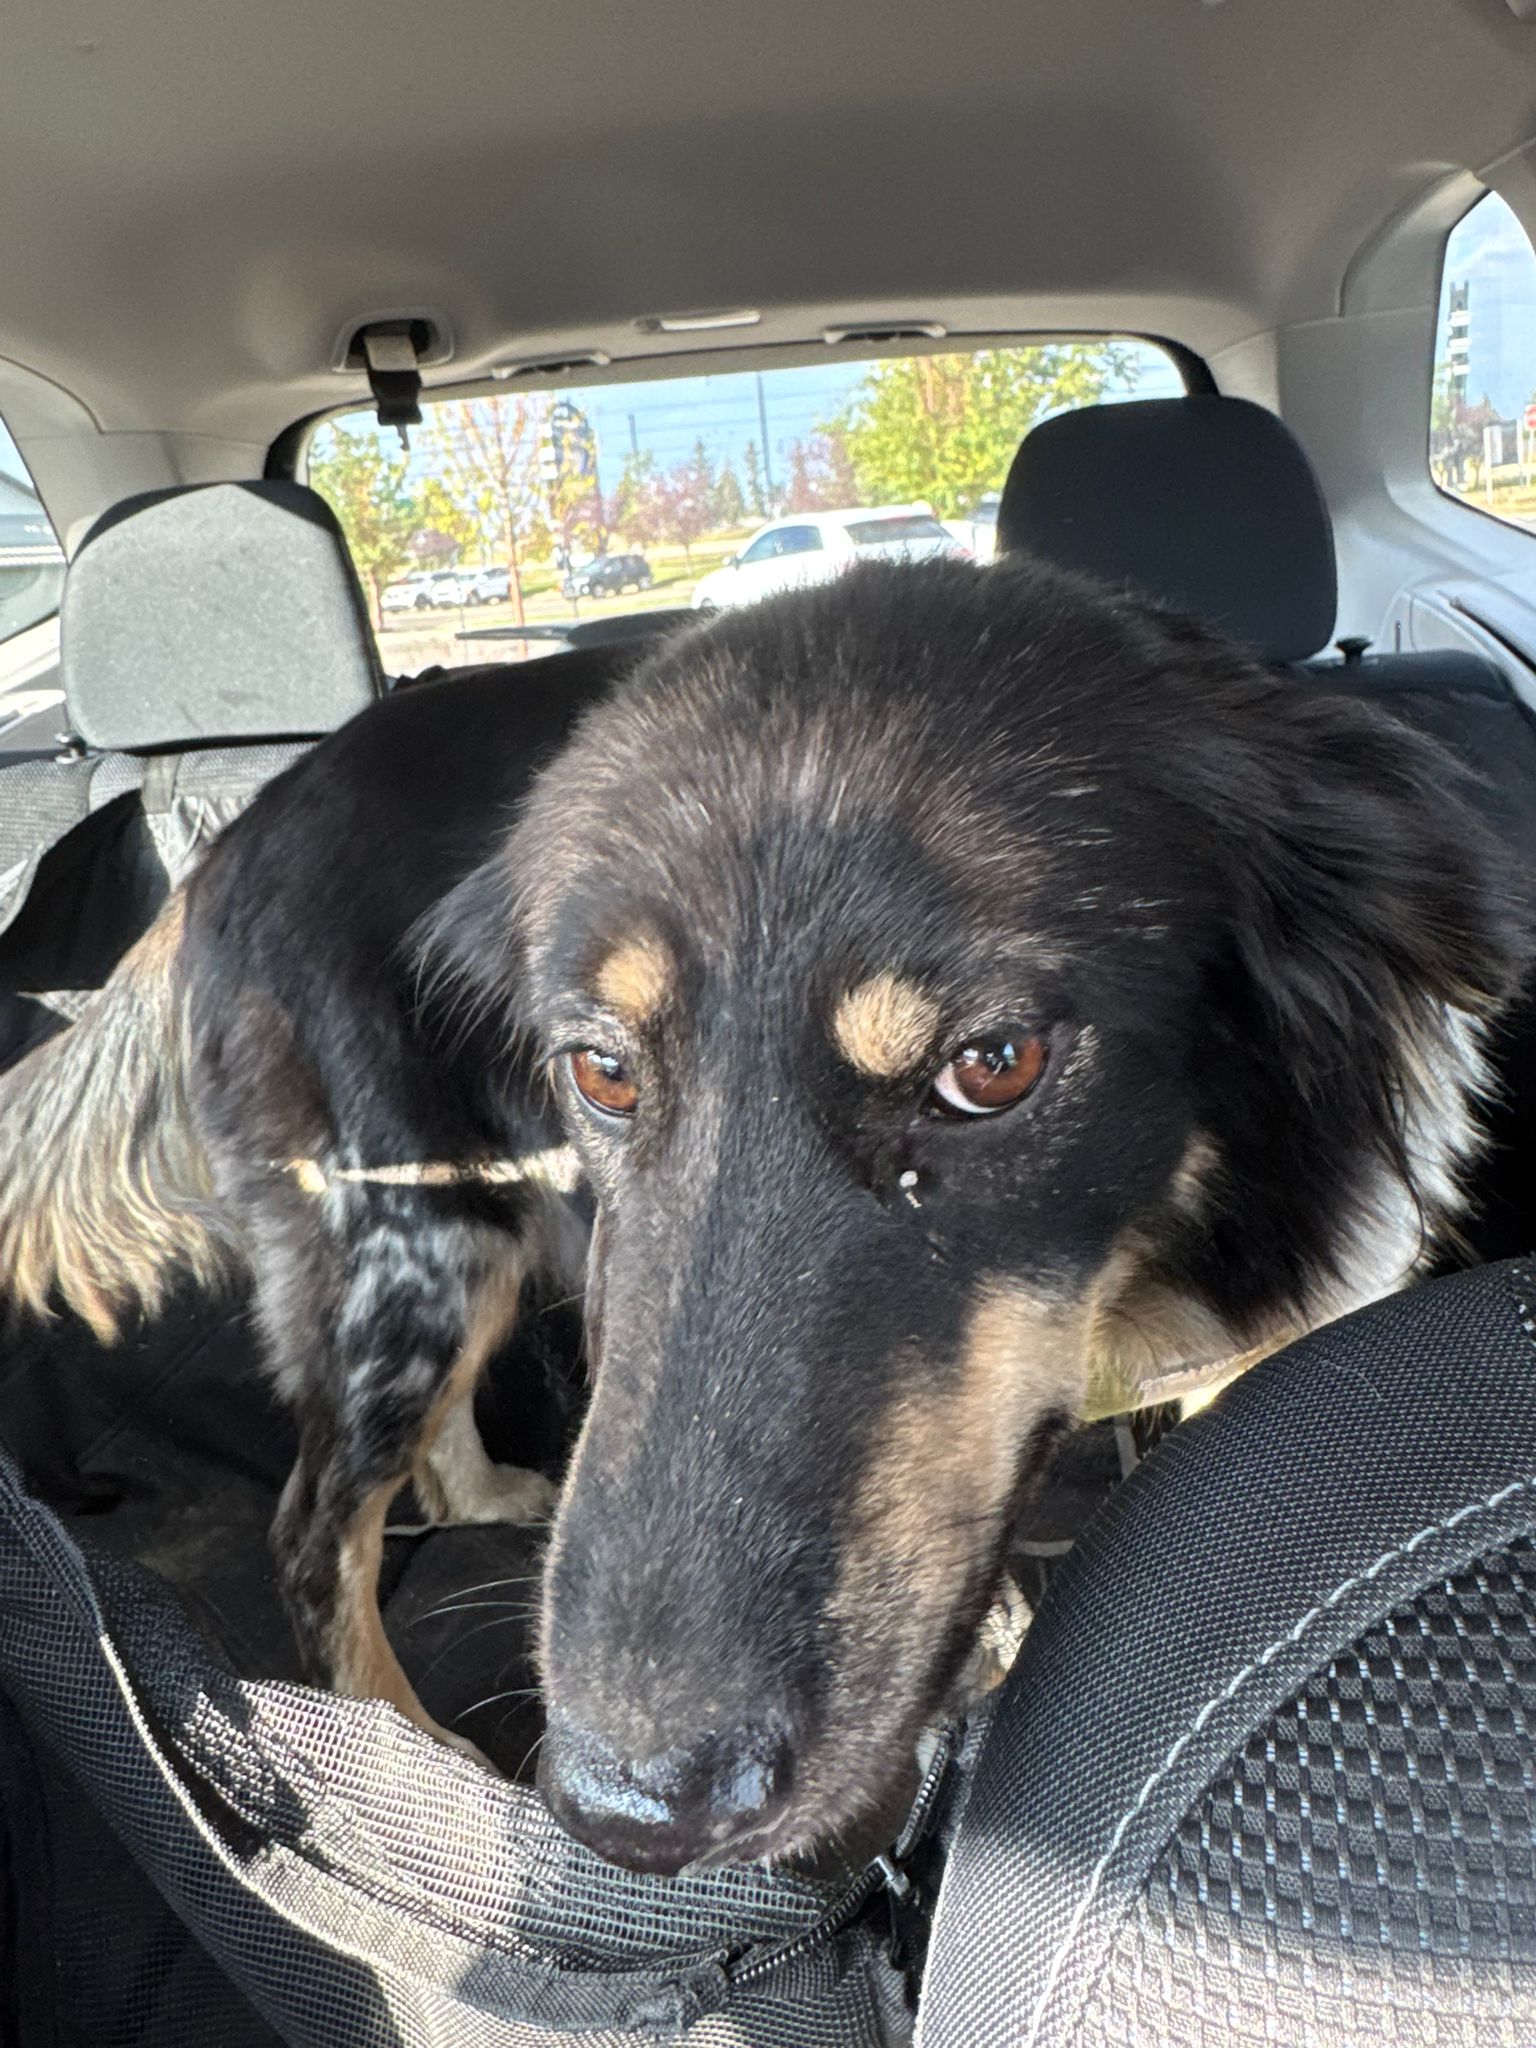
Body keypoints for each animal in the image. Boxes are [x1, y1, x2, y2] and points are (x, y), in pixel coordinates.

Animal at [0, 556, 1525, 1876]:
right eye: (602, 1069)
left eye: (994, 1064)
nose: (628, 1812)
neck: (1149, 1271)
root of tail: (223, 858)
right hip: (413, 1245)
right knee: (318, 1525)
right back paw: (407, 1757)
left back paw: (489, 1498)